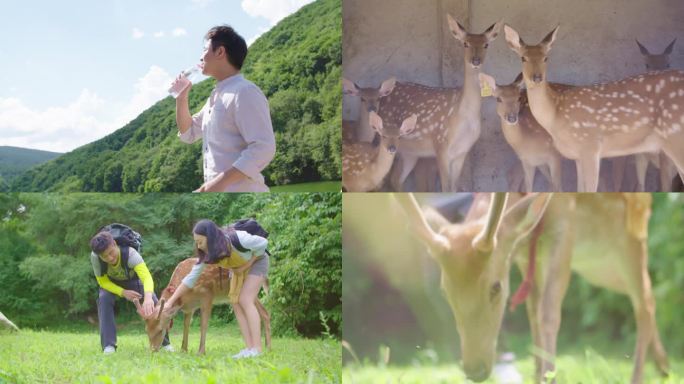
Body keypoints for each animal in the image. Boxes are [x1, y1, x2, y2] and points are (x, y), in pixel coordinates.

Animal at [135, 258, 272, 354]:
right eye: (146, 330)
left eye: (160, 330)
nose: (153, 350)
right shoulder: (189, 308)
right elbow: (186, 326)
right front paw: (183, 350)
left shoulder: (207, 296)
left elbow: (204, 325)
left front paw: (201, 351)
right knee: (264, 312)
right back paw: (265, 345)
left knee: (264, 312)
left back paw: (268, 347)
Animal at [380, 15, 502, 192]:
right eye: (465, 43)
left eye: (486, 44)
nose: (476, 60)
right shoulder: (440, 145)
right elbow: (445, 189)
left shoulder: (462, 152)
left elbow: (454, 188)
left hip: (410, 152)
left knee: (396, 178)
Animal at [396, 194, 668, 382]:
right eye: (445, 291)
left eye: (496, 287)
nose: (475, 371)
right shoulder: (524, 254)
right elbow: (533, 314)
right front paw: (538, 376)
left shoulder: (564, 230)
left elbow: (548, 314)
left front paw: (550, 377)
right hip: (597, 266)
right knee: (645, 296)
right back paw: (663, 367)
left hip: (631, 238)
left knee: (645, 302)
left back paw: (640, 376)